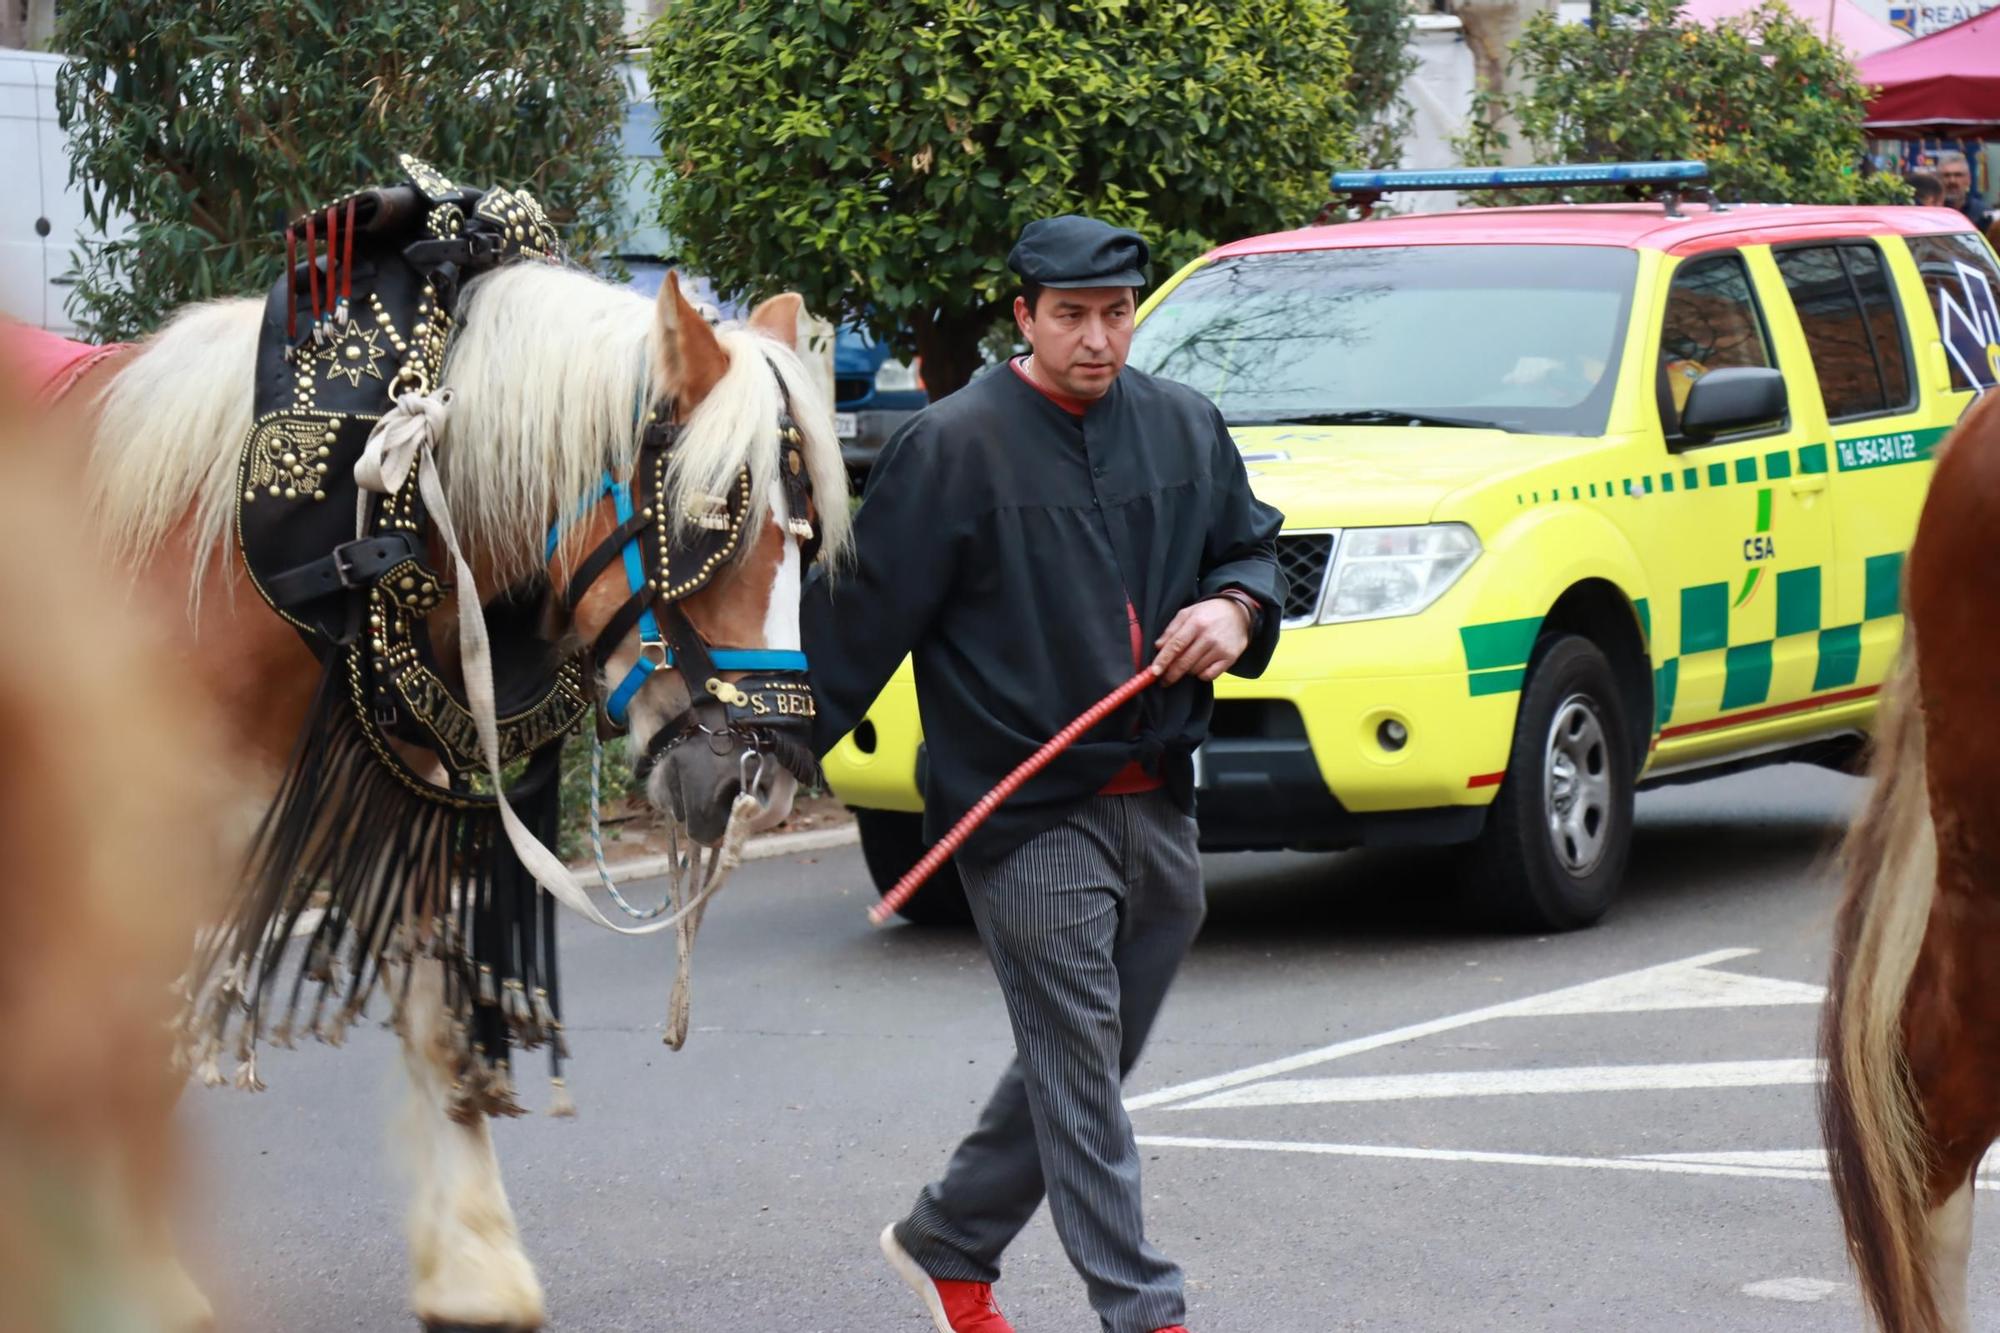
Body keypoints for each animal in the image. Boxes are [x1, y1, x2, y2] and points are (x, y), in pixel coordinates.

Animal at [54, 158, 848, 1328]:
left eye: (809, 539)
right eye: (710, 524)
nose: (763, 777)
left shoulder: (401, 807)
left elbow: (436, 1014)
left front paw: (474, 1265)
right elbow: (122, 1052)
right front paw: (130, 1283)